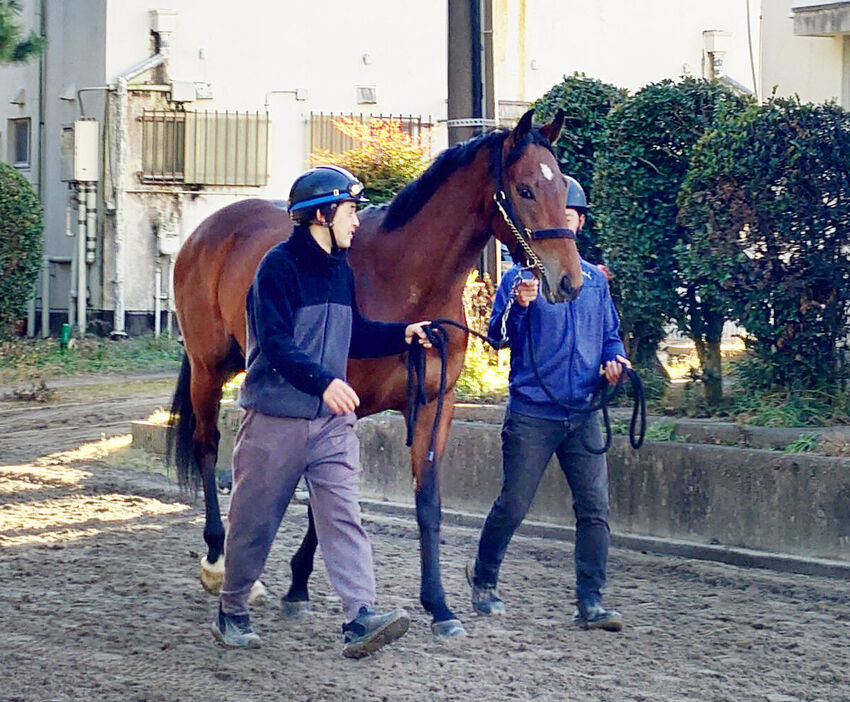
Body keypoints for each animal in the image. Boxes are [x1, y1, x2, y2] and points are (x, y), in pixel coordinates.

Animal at [171, 108, 584, 640]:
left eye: (561, 187)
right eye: (527, 189)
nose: (569, 281)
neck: (401, 278)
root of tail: (208, 230)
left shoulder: (432, 407)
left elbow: (424, 503)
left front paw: (439, 607)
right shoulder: (341, 402)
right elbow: (326, 496)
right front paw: (298, 585)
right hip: (207, 369)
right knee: (207, 449)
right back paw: (218, 561)